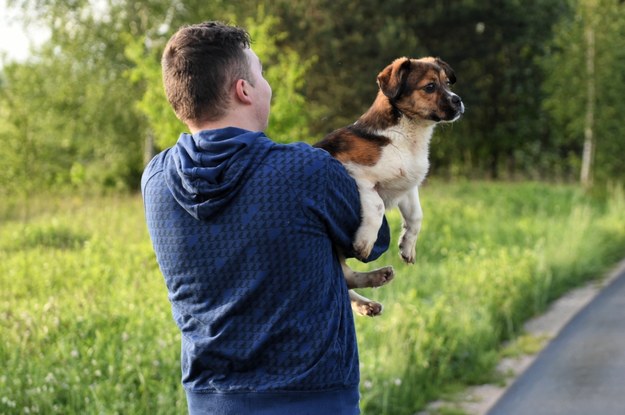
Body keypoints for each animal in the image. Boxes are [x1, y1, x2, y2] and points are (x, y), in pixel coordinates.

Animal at [314, 57, 460, 316]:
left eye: (447, 82)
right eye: (430, 87)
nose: (459, 101)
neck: (404, 136)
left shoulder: (407, 188)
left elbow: (416, 217)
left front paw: (407, 247)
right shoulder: (354, 171)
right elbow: (377, 205)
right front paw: (365, 242)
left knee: (346, 278)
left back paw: (372, 292)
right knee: (345, 277)